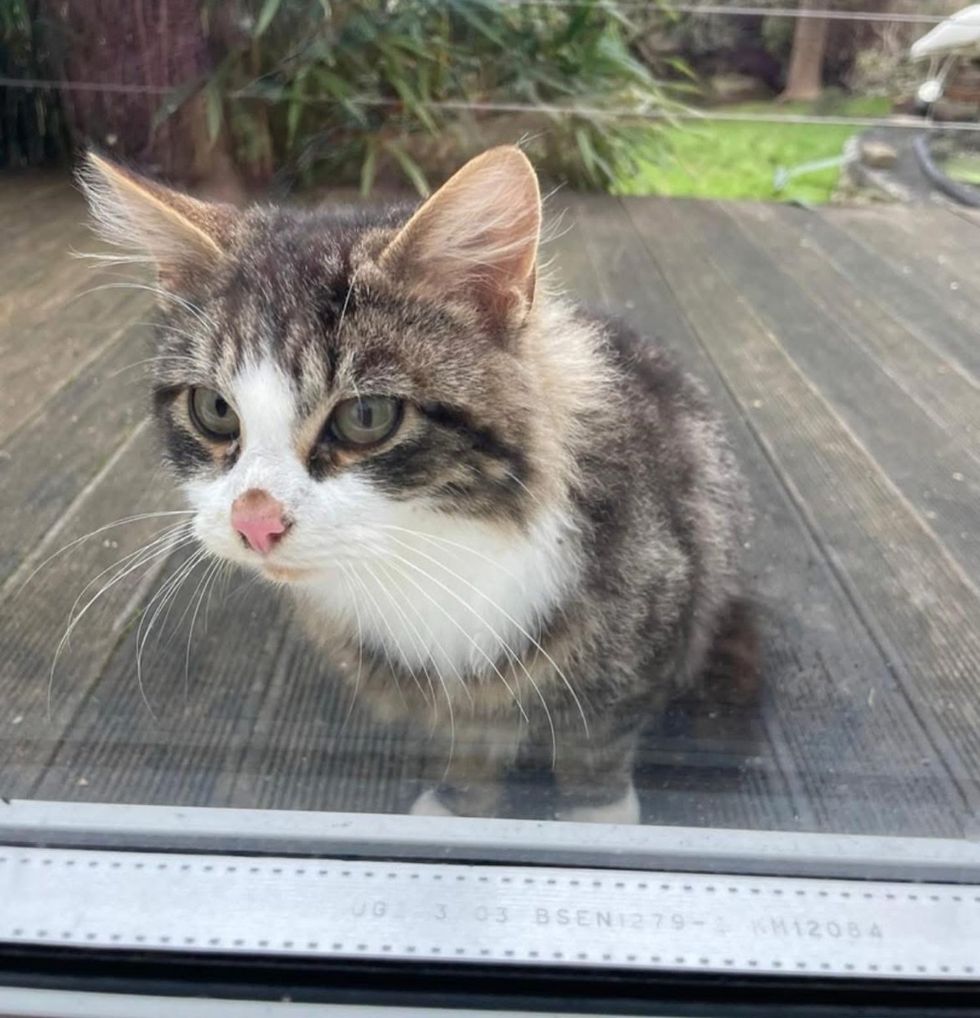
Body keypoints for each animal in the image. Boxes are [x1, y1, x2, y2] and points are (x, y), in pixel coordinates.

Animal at [80, 147, 748, 822]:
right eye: (215, 409)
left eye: (367, 416)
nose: (254, 521)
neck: (429, 547)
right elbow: (466, 737)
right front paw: (460, 805)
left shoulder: (645, 623)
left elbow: (596, 741)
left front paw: (595, 819)